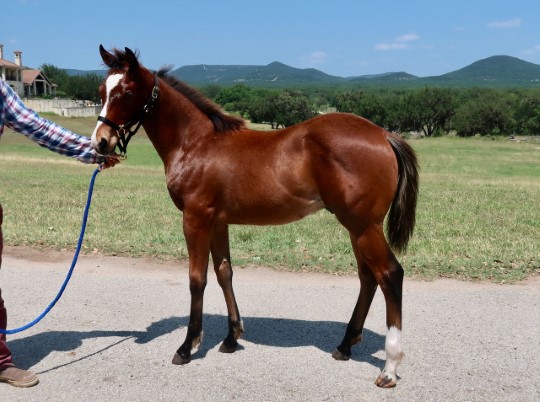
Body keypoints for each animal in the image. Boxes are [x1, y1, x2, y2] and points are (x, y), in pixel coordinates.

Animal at [93, 45, 420, 388]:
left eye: (127, 92)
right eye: (102, 91)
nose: (100, 141)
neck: (196, 143)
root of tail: (384, 135)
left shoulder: (196, 219)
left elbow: (197, 279)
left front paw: (187, 346)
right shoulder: (218, 222)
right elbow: (224, 272)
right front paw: (231, 338)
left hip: (364, 226)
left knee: (389, 275)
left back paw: (389, 368)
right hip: (358, 228)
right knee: (368, 277)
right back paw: (345, 346)